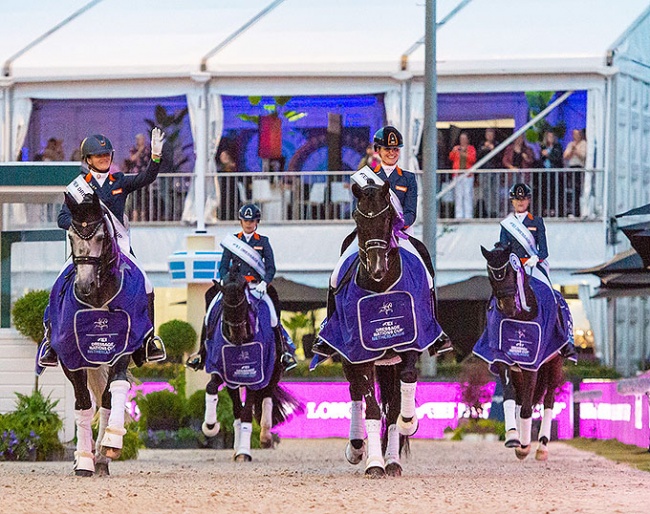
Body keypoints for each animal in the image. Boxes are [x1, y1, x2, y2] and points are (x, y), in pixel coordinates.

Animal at [43, 194, 152, 474]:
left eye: (101, 237)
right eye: (71, 236)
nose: (85, 285)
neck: (98, 299)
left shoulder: (123, 346)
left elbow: (116, 388)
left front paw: (111, 443)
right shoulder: (70, 358)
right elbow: (83, 405)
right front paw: (83, 460)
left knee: (105, 399)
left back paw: (102, 456)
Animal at [189, 264, 298, 460]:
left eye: (243, 305)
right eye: (223, 307)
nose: (237, 336)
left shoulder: (255, 376)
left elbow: (247, 412)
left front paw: (244, 452)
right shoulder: (222, 371)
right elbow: (213, 389)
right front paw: (210, 426)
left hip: (273, 372)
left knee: (267, 397)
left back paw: (265, 436)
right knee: (237, 409)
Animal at [314, 180, 446, 476]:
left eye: (387, 219)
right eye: (358, 218)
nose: (376, 268)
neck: (380, 287)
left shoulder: (411, 342)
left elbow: (402, 394)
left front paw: (410, 422)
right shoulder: (358, 352)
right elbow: (372, 410)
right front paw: (374, 463)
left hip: (390, 361)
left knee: (392, 400)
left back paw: (393, 459)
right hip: (349, 355)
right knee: (355, 393)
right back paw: (356, 448)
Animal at [470, 243, 572, 460]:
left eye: (510, 271)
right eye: (490, 274)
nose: (507, 306)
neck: (521, 315)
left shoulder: (532, 364)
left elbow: (527, 407)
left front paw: (524, 446)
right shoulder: (504, 360)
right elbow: (511, 398)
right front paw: (513, 438)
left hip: (554, 364)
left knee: (548, 400)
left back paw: (542, 446)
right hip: (520, 371)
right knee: (523, 399)